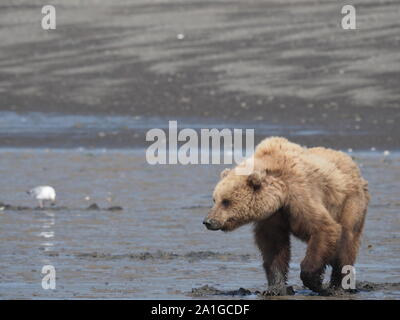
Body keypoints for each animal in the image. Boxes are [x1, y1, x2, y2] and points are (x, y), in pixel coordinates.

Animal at [203, 136, 368, 296]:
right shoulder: (272, 216)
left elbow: (324, 228)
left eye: (226, 201)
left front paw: (316, 283)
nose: (208, 221)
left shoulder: (299, 197)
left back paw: (339, 286)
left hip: (350, 203)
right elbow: (274, 247)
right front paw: (275, 288)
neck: (280, 195)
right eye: (215, 199)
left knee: (346, 241)